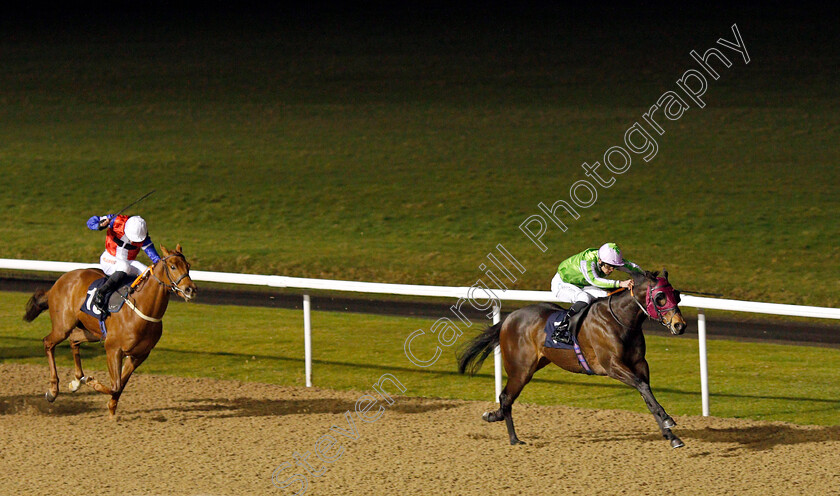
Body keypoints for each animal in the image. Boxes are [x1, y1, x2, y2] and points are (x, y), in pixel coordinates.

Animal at [23, 246, 197, 416]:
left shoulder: (139, 355)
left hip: (92, 331)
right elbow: (115, 385)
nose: (190, 289)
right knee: (48, 342)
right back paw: (53, 391)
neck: (141, 309)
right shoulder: (113, 349)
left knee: (74, 339)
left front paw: (112, 409)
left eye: (188, 266)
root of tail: (60, 281)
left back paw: (77, 381)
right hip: (63, 327)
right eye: (173, 266)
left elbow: (120, 385)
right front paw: (91, 382)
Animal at [460, 270, 688, 448]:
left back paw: (495, 417)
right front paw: (668, 420)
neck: (621, 320)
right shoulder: (612, 366)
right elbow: (642, 386)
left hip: (535, 364)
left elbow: (647, 395)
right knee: (506, 397)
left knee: (506, 398)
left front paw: (671, 436)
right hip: (520, 369)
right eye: (660, 297)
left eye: (676, 295)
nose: (680, 325)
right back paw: (513, 438)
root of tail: (508, 318)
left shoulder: (640, 364)